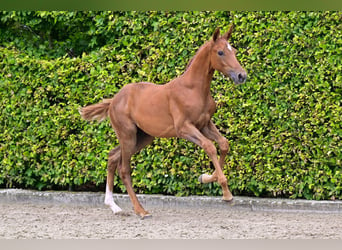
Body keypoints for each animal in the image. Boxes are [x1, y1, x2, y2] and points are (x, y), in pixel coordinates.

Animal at [79, 24, 246, 218]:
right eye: (220, 52)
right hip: (128, 135)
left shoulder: (204, 124)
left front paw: (205, 177)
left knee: (112, 156)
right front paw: (226, 194)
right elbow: (210, 146)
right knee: (124, 169)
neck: (193, 89)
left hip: (142, 137)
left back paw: (114, 206)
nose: (241, 76)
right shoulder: (184, 128)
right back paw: (140, 210)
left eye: (234, 51)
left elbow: (224, 144)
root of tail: (113, 100)